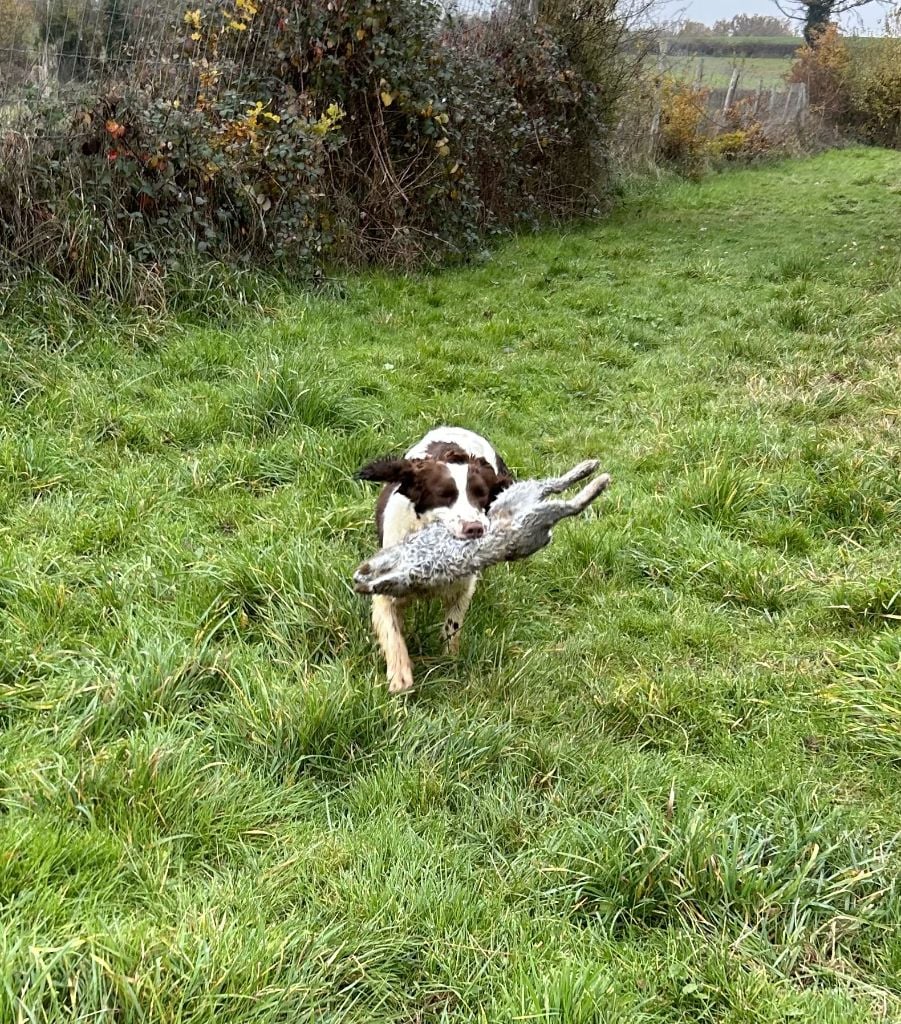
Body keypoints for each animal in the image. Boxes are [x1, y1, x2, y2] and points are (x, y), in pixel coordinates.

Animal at [358, 428, 513, 692]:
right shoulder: (385, 590)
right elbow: (392, 633)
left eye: (481, 495)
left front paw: (450, 658)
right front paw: (400, 676)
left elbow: (453, 625)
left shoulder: (462, 588)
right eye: (443, 495)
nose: (474, 528)